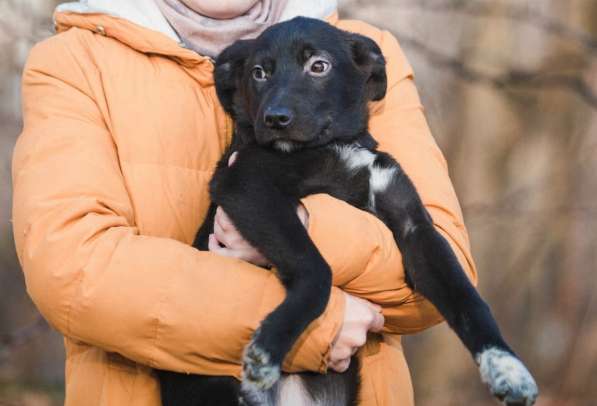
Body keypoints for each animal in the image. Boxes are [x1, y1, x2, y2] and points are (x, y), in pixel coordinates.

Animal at [156, 16, 536, 406]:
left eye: (318, 66)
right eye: (259, 73)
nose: (275, 118)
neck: (334, 148)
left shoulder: (414, 225)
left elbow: (466, 297)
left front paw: (507, 368)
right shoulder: (245, 184)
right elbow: (317, 269)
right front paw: (270, 345)